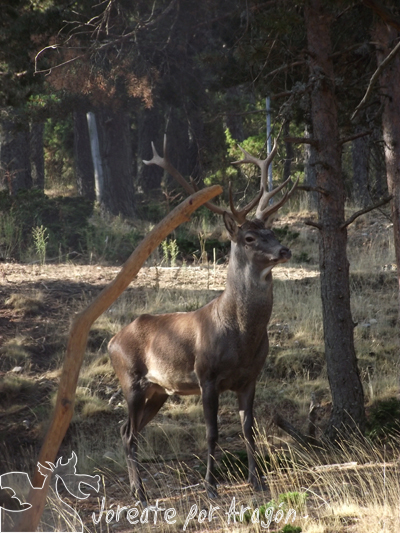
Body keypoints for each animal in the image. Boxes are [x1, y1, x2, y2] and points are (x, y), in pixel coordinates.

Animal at [107, 136, 296, 498]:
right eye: (249, 238)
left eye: (273, 232)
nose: (284, 250)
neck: (241, 337)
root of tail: (111, 341)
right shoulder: (206, 375)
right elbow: (212, 432)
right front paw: (210, 486)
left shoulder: (250, 378)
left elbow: (248, 430)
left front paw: (257, 481)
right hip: (131, 380)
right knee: (127, 433)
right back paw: (139, 491)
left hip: (158, 391)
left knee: (127, 430)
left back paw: (139, 488)